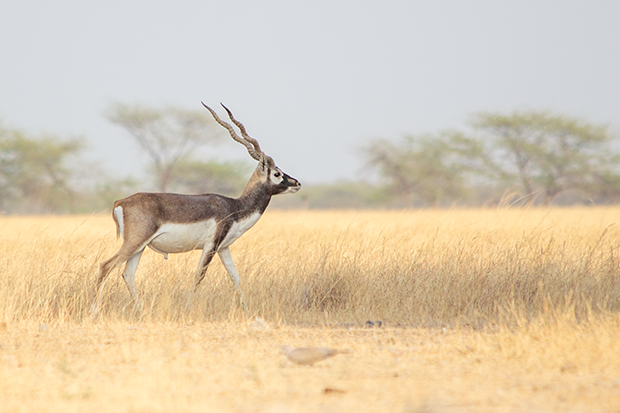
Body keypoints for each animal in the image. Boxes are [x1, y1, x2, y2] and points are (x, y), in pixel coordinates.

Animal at [92, 102, 302, 312]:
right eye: (277, 173)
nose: (297, 183)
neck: (235, 207)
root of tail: (120, 202)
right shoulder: (211, 245)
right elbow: (199, 276)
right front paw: (187, 309)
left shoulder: (223, 248)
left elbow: (235, 277)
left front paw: (246, 310)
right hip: (134, 242)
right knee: (106, 266)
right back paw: (95, 309)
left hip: (140, 247)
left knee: (128, 274)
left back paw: (141, 311)